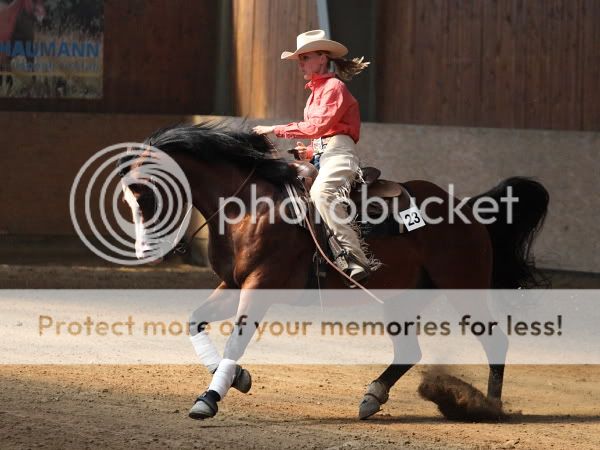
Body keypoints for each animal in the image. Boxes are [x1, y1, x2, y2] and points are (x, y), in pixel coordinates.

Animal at [118, 122, 549, 421]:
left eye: (142, 193)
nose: (146, 252)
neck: (249, 208)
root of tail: (468, 209)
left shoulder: (260, 286)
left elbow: (235, 342)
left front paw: (208, 400)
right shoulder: (233, 284)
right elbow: (195, 320)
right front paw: (238, 379)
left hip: (465, 289)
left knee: (496, 342)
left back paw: (489, 407)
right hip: (400, 298)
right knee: (409, 351)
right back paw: (372, 397)